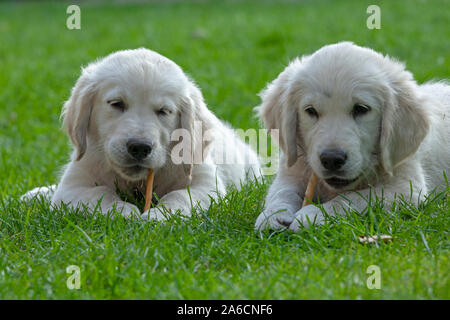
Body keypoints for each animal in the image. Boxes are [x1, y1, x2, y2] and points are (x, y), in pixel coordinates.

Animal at [24, 48, 262, 221]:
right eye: (116, 104)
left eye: (164, 111)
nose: (139, 147)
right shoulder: (74, 185)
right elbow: (99, 194)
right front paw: (123, 212)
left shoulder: (205, 184)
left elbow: (180, 196)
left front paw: (159, 216)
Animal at [255, 42, 448, 232]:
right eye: (311, 111)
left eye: (361, 109)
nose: (331, 159)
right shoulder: (290, 170)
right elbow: (281, 191)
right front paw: (273, 214)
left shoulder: (406, 188)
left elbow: (354, 198)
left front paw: (313, 214)